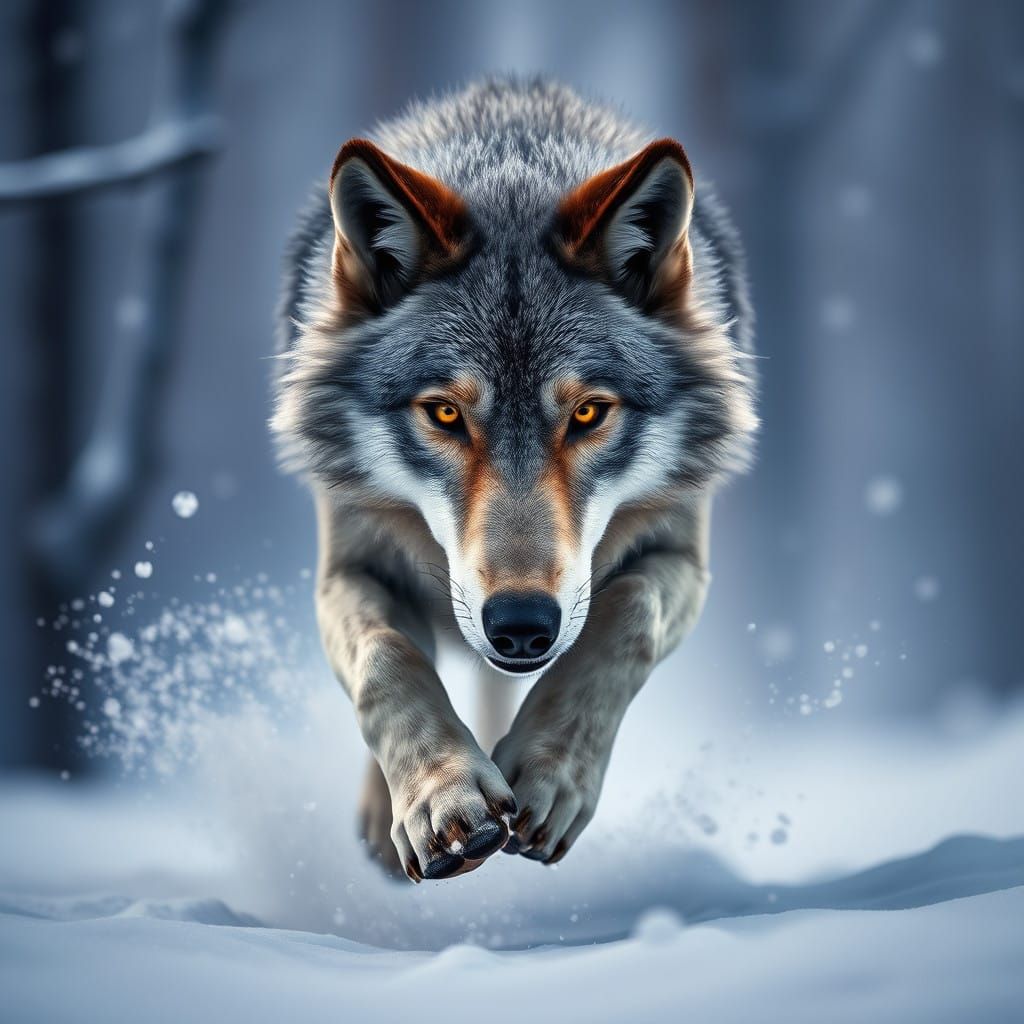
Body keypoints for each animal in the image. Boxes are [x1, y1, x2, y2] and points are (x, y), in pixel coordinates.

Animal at [272, 77, 757, 881]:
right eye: (444, 413)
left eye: (589, 413)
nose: (522, 624)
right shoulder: (351, 558)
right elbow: (385, 656)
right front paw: (442, 797)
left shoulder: (682, 552)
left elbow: (629, 614)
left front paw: (547, 774)